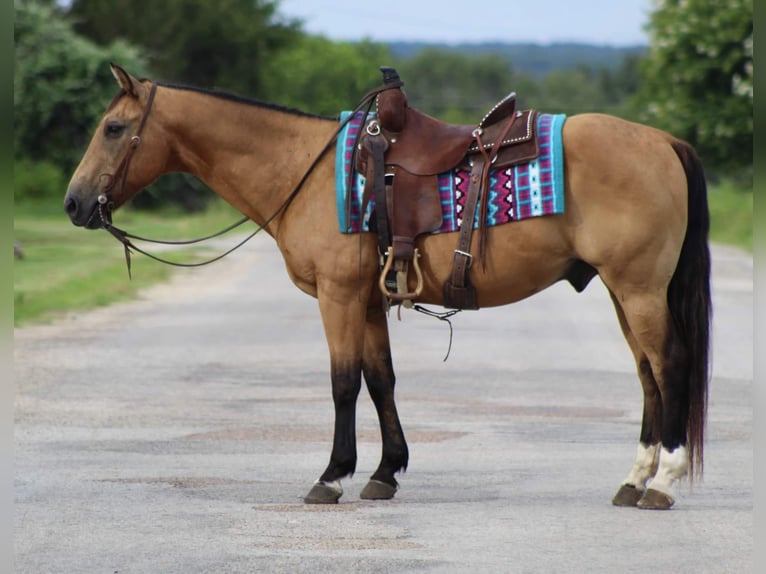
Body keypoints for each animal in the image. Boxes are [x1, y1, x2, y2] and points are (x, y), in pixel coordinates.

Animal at [64, 65, 712, 510]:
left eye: (114, 128)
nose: (74, 203)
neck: (306, 171)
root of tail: (664, 142)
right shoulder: (370, 299)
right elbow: (380, 380)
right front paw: (383, 473)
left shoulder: (339, 296)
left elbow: (343, 383)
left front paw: (331, 476)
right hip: (623, 291)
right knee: (648, 373)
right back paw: (634, 480)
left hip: (639, 288)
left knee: (671, 363)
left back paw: (665, 480)